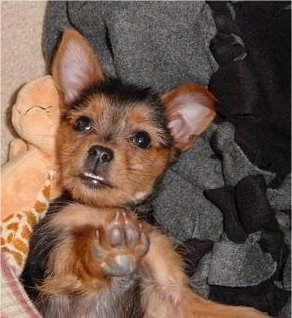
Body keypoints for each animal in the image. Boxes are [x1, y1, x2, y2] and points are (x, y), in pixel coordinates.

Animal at [20, 29, 270, 318]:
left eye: (142, 139)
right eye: (83, 124)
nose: (100, 152)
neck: (111, 210)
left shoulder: (170, 290)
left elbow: (220, 309)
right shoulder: (56, 259)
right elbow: (79, 257)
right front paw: (112, 249)